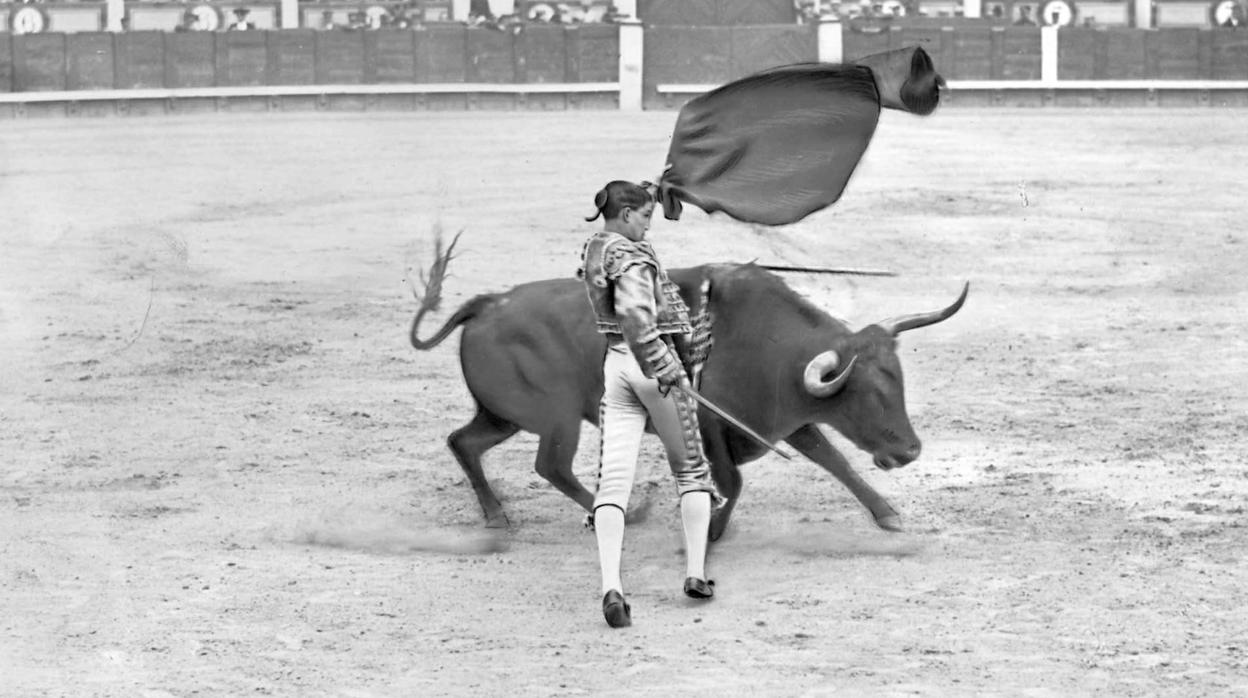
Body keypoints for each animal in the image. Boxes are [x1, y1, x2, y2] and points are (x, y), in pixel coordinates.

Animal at [409, 238, 963, 541]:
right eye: (867, 394)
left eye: (899, 382)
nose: (910, 451)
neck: (770, 345)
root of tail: (487, 303)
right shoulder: (714, 427)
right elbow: (733, 483)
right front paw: (712, 529)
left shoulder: (788, 422)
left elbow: (836, 462)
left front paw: (888, 515)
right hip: (557, 418)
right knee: (551, 465)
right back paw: (628, 512)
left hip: (503, 416)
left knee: (464, 442)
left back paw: (497, 515)